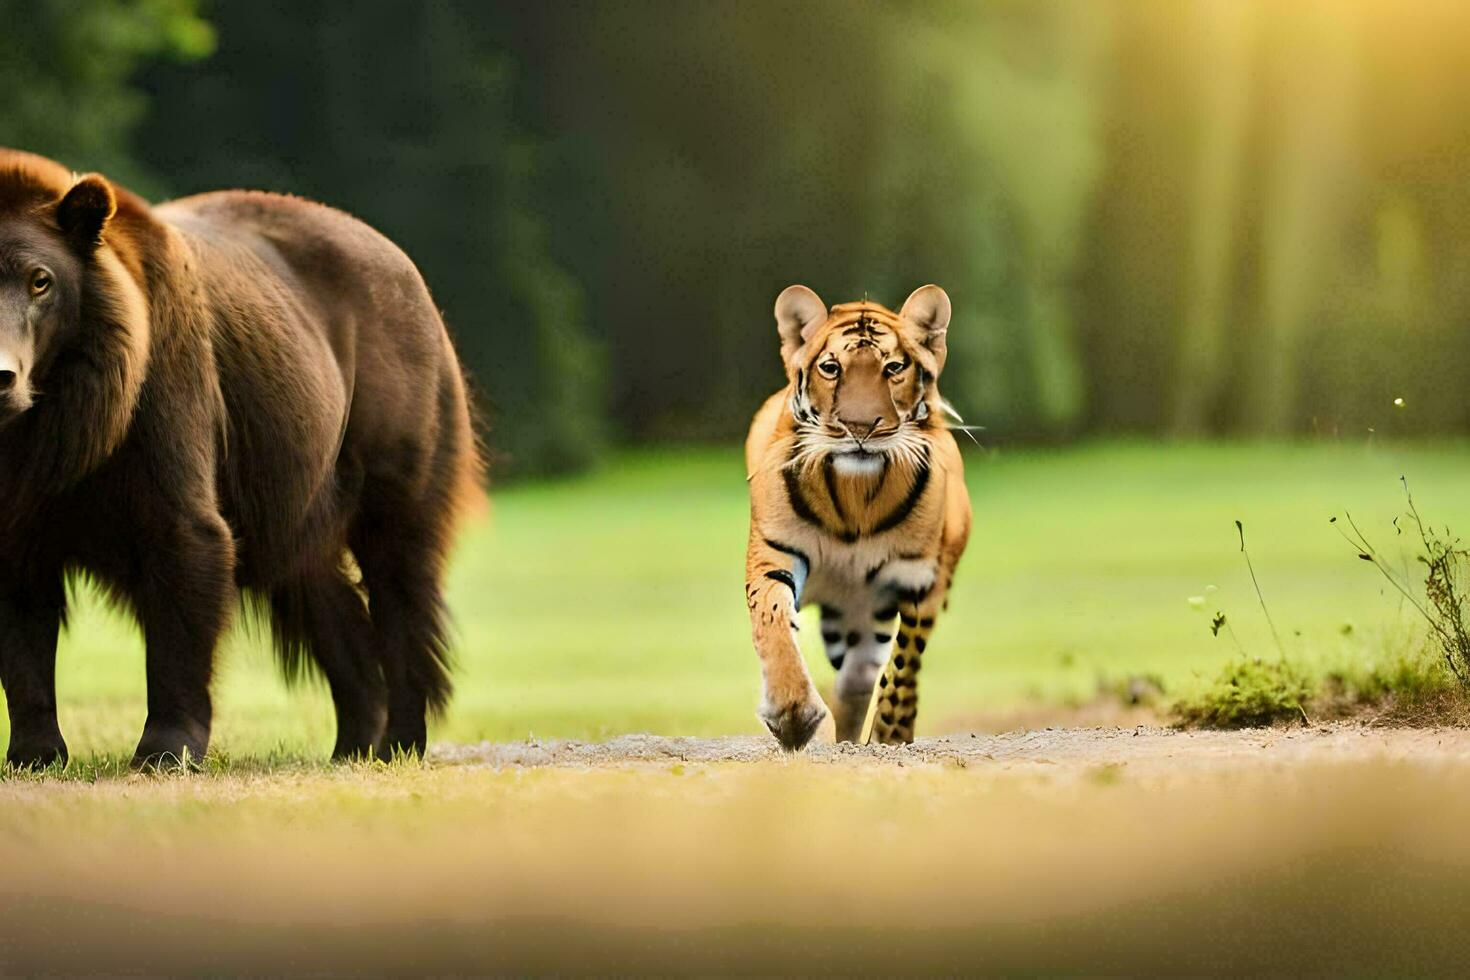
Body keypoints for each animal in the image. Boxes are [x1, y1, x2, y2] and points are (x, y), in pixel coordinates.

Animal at [0, 149, 479, 769]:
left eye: (41, 280)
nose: (1, 377)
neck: (54, 424)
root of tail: (399, 257)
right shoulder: (22, 496)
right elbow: (21, 616)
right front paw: (33, 751)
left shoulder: (164, 406)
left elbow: (186, 546)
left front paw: (164, 748)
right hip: (300, 478)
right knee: (321, 593)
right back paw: (353, 743)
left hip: (392, 410)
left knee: (399, 571)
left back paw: (399, 740)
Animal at [740, 283, 970, 752]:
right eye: (831, 368)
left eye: (893, 367)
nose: (860, 427)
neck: (854, 495)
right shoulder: (774, 554)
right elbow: (772, 623)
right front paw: (792, 714)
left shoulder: (923, 578)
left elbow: (903, 664)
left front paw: (891, 733)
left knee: (861, 677)